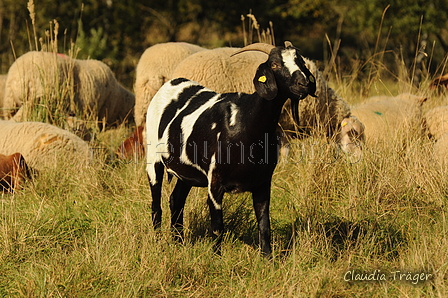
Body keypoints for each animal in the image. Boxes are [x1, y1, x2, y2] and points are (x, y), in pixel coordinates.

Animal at [145, 42, 316, 256]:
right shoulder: (215, 182)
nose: (303, 84)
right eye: (275, 64)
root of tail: (172, 82)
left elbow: (264, 224)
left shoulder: (263, 182)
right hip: (153, 159)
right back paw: (158, 241)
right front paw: (216, 256)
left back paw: (178, 242)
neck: (245, 123)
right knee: (156, 204)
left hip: (187, 172)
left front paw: (268, 257)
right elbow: (218, 226)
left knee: (176, 200)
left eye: (301, 62)